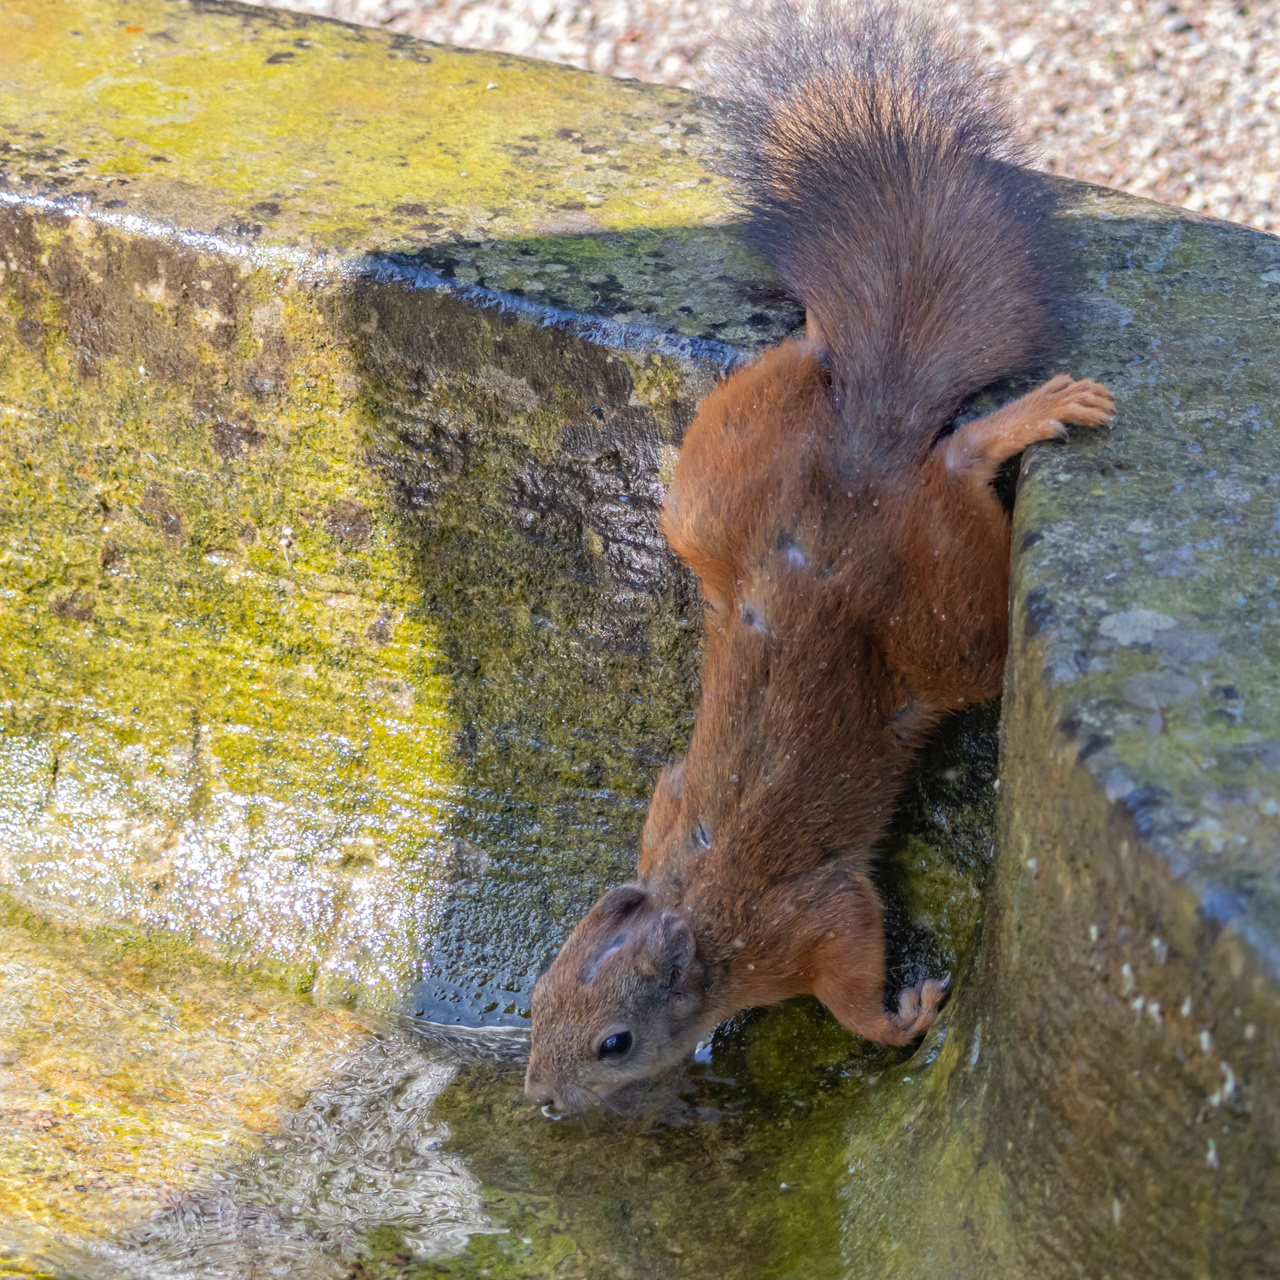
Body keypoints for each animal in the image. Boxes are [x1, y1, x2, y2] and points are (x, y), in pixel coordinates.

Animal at [524, 0, 1114, 1117]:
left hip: (945, 616)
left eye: (615, 1042)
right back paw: (820, 334)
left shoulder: (807, 921)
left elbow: (850, 981)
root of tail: (861, 460)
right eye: (537, 998)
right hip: (712, 491)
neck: (701, 918)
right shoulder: (670, 807)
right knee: (816, 354)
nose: (540, 1093)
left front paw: (907, 1017)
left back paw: (1013, 425)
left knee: (957, 474)